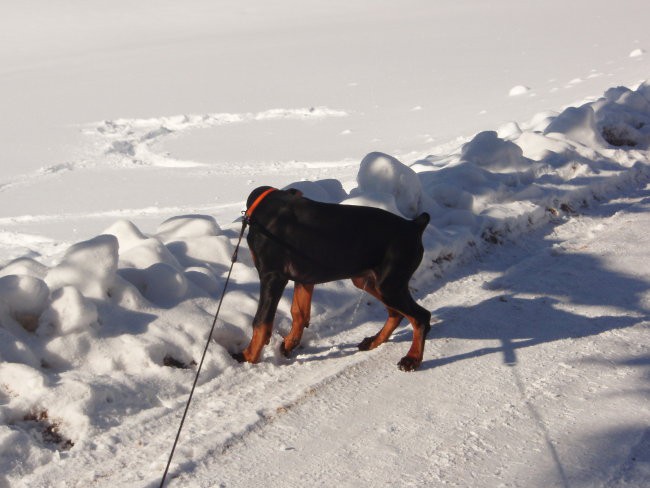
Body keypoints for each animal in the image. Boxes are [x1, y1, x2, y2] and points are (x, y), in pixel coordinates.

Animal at [232, 185, 430, 372]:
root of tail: (414, 226)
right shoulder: (304, 278)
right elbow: (299, 312)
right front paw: (289, 344)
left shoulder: (272, 276)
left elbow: (261, 321)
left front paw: (247, 356)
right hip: (369, 281)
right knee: (397, 313)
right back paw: (374, 341)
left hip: (389, 285)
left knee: (421, 317)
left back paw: (412, 358)